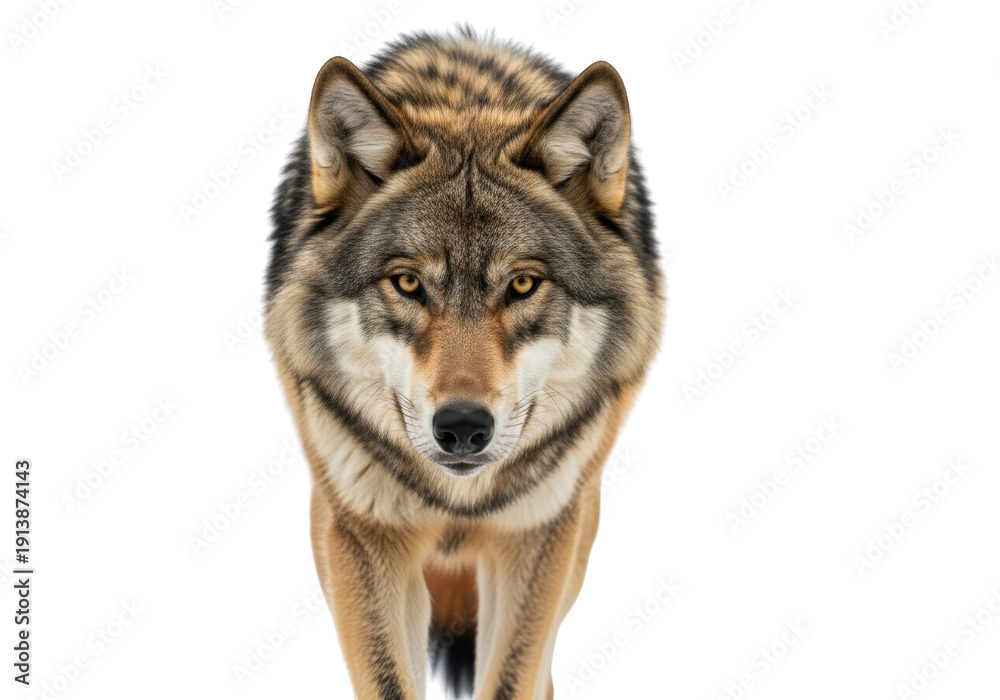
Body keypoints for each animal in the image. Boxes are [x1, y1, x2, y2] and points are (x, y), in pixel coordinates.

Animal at [264, 28, 664, 699]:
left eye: (523, 285)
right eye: (407, 283)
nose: (462, 427)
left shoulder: (537, 534)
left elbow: (511, 679)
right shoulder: (362, 536)